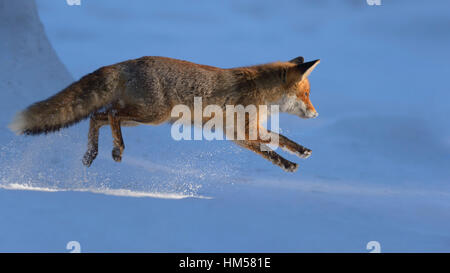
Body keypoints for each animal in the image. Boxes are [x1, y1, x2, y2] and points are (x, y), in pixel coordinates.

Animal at [10, 56, 320, 171]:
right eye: (306, 95)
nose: (316, 115)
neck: (261, 93)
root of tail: (127, 63)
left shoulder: (242, 133)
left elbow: (280, 138)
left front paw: (301, 150)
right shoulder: (243, 133)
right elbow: (270, 150)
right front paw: (287, 164)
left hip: (140, 118)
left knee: (97, 116)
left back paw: (92, 154)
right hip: (152, 115)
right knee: (110, 115)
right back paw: (118, 149)